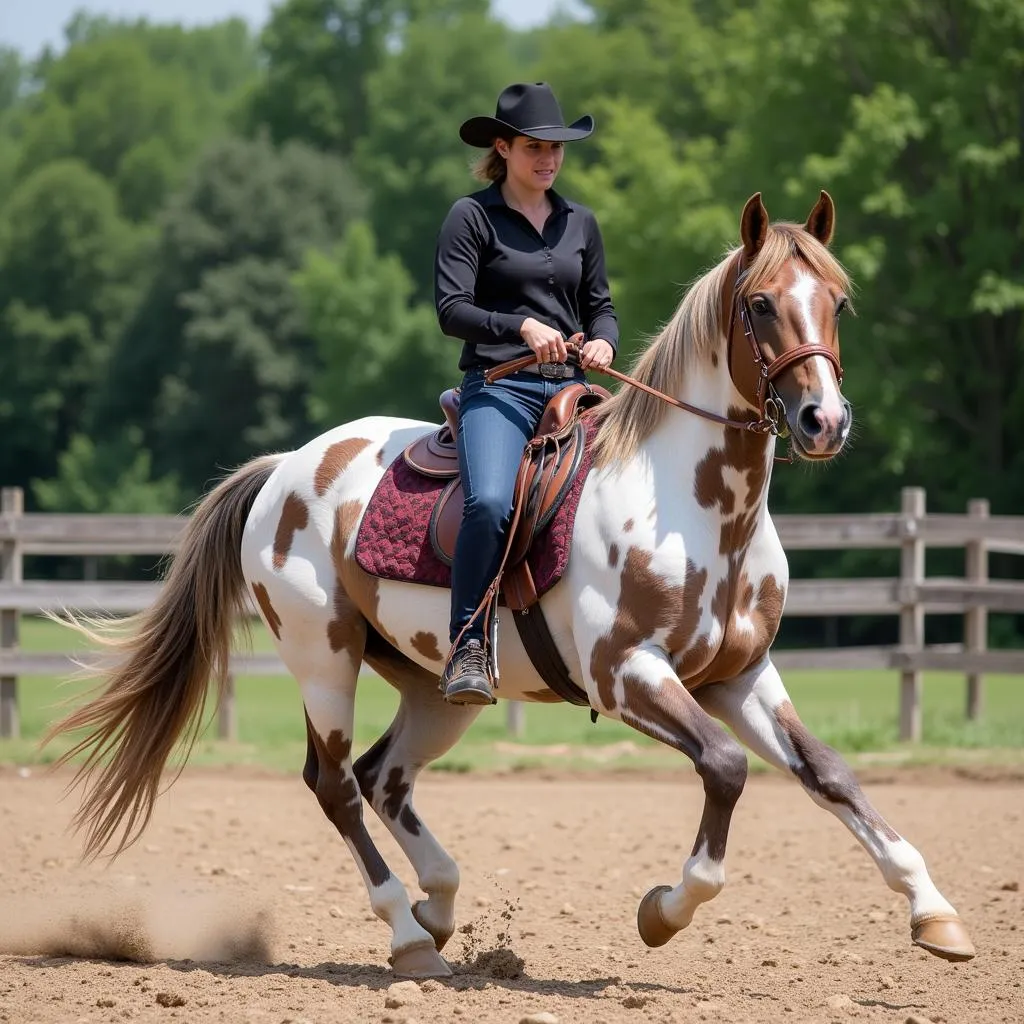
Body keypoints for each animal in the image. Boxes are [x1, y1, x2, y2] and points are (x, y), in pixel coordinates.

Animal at [46, 188, 974, 978]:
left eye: (838, 302)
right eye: (759, 303)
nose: (825, 421)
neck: (693, 509)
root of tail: (287, 467)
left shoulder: (740, 676)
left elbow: (829, 774)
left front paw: (935, 912)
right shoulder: (628, 675)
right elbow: (724, 768)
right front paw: (664, 910)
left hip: (436, 688)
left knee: (384, 776)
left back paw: (439, 907)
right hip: (322, 660)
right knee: (337, 785)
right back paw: (407, 934)